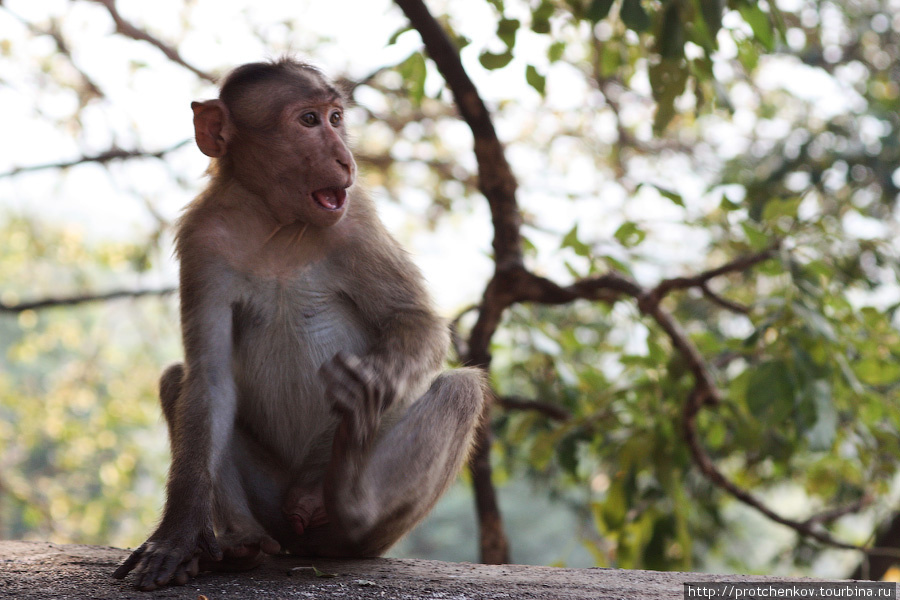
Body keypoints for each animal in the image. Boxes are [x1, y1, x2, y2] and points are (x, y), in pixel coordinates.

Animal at [116, 58, 488, 588]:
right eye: (309, 121)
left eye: (336, 118)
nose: (346, 159)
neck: (276, 222)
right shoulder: (202, 240)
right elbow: (210, 380)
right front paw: (177, 535)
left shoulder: (357, 219)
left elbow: (416, 322)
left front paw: (368, 383)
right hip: (274, 502)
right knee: (179, 381)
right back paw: (241, 542)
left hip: (358, 525)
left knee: (461, 390)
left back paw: (351, 498)